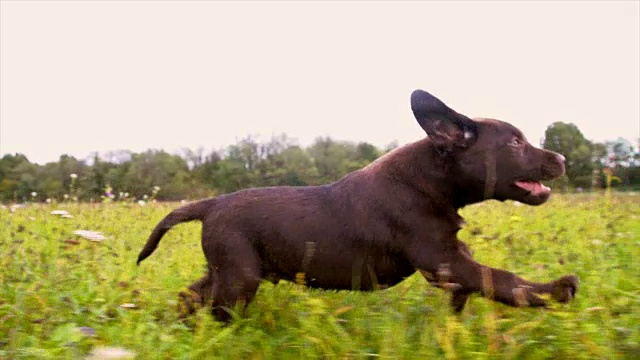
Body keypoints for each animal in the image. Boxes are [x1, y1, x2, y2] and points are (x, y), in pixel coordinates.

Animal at [138, 89, 576, 320]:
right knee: (214, 309)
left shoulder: (451, 256)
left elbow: (487, 278)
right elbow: (501, 279)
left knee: (191, 296)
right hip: (238, 278)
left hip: (227, 270)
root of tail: (211, 205)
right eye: (515, 142)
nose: (562, 159)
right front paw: (553, 292)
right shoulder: (443, 259)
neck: (430, 180)